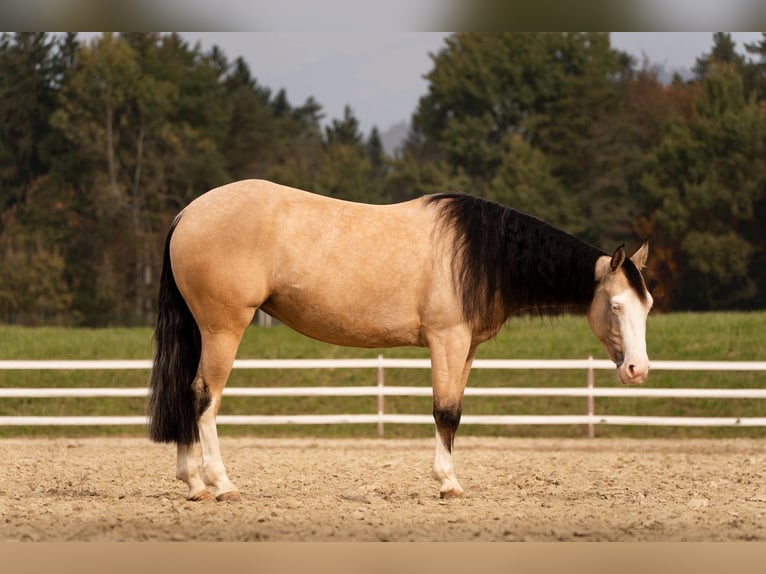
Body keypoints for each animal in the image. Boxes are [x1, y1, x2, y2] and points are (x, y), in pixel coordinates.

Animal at [147, 179, 653, 501]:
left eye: (646, 306)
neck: (480, 253)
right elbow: (445, 412)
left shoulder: (466, 348)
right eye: (615, 306)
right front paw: (447, 483)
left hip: (199, 331)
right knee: (203, 398)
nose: (638, 370)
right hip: (223, 330)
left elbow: (455, 412)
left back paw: (193, 485)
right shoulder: (446, 341)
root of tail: (188, 213)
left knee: (185, 396)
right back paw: (221, 485)